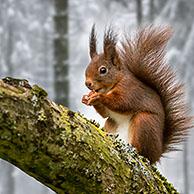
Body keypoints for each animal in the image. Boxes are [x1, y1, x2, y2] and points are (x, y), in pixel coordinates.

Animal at [81, 25, 192, 163]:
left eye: (103, 70)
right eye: (87, 68)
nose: (88, 83)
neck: (115, 83)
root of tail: (157, 153)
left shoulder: (130, 89)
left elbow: (122, 103)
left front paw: (99, 97)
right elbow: (105, 113)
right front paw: (86, 98)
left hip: (144, 122)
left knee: (143, 151)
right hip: (111, 124)